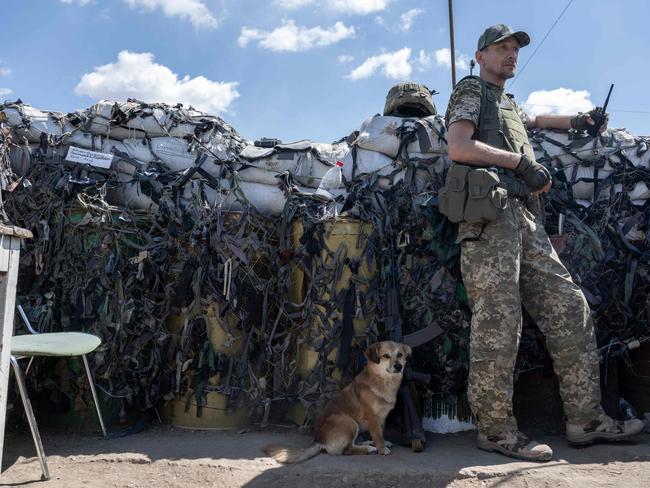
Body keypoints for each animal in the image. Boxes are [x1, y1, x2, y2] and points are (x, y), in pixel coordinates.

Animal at [262, 342, 410, 464]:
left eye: (400, 355)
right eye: (385, 356)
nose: (399, 366)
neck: (383, 381)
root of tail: (319, 439)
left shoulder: (382, 418)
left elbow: (380, 432)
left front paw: (382, 443)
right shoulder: (372, 418)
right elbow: (378, 435)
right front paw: (382, 448)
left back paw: (368, 443)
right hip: (348, 421)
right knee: (346, 449)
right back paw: (368, 448)